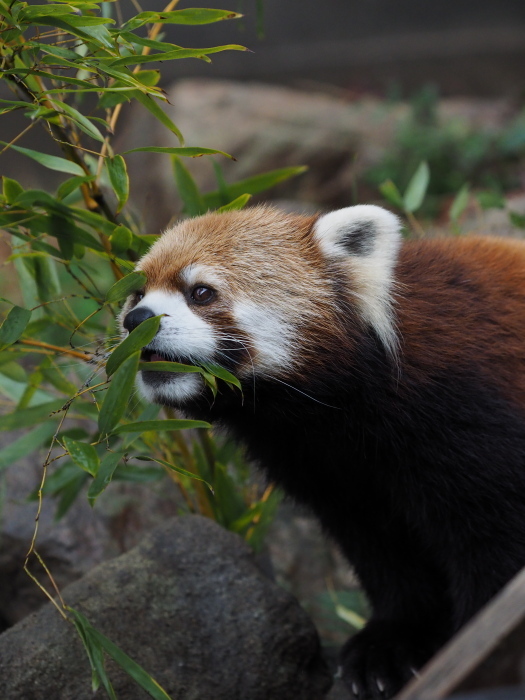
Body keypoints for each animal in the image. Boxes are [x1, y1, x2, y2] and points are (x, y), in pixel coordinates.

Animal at [121, 205, 524, 696]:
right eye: (137, 293)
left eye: (200, 292)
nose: (136, 320)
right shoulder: (323, 466)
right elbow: (382, 551)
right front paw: (391, 644)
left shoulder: (466, 414)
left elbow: (492, 541)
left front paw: (477, 636)